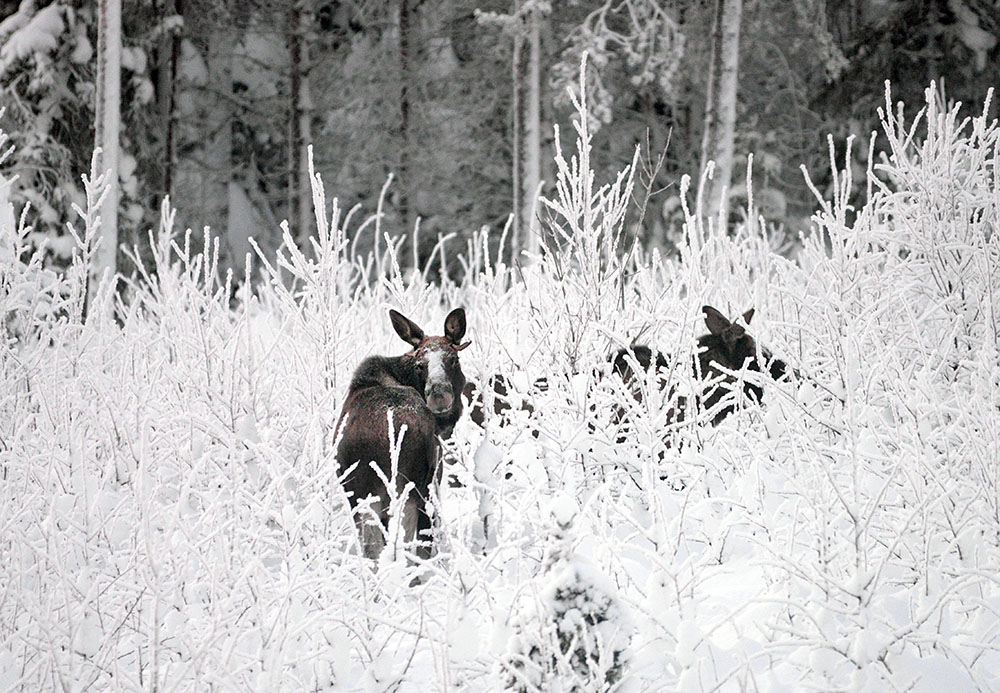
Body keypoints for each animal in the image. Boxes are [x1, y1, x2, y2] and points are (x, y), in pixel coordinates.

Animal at [336, 308, 468, 564]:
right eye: (420, 365)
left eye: (453, 359)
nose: (439, 395)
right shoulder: (435, 477)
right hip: (411, 491)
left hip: (363, 497)